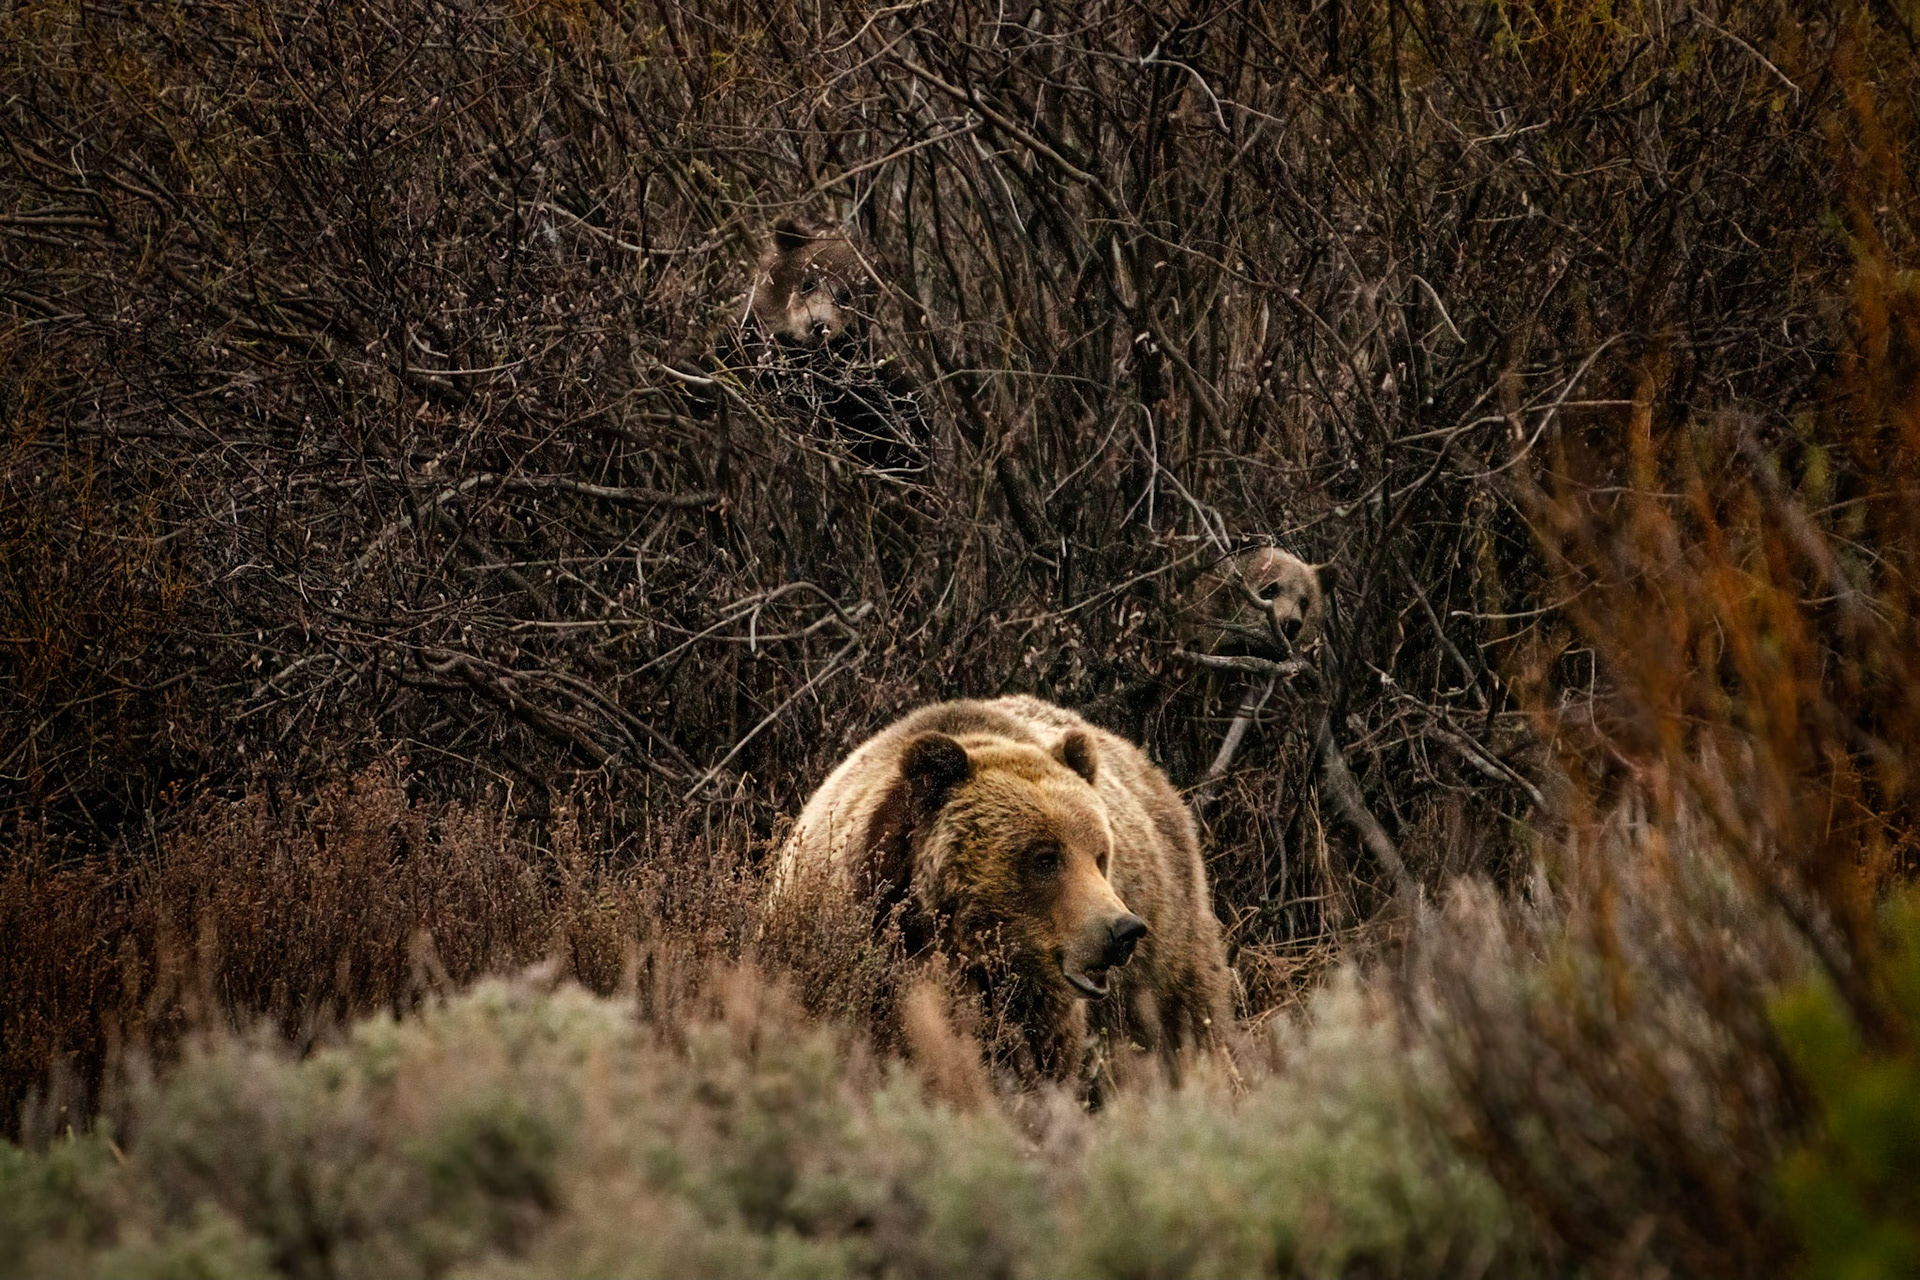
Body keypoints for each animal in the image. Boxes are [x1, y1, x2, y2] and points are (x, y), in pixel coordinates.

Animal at [768, 694, 1233, 1086]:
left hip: (1167, 951)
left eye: (1100, 855)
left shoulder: (1035, 1003)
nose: (1122, 929)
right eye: (1045, 857)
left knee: (1184, 1029)